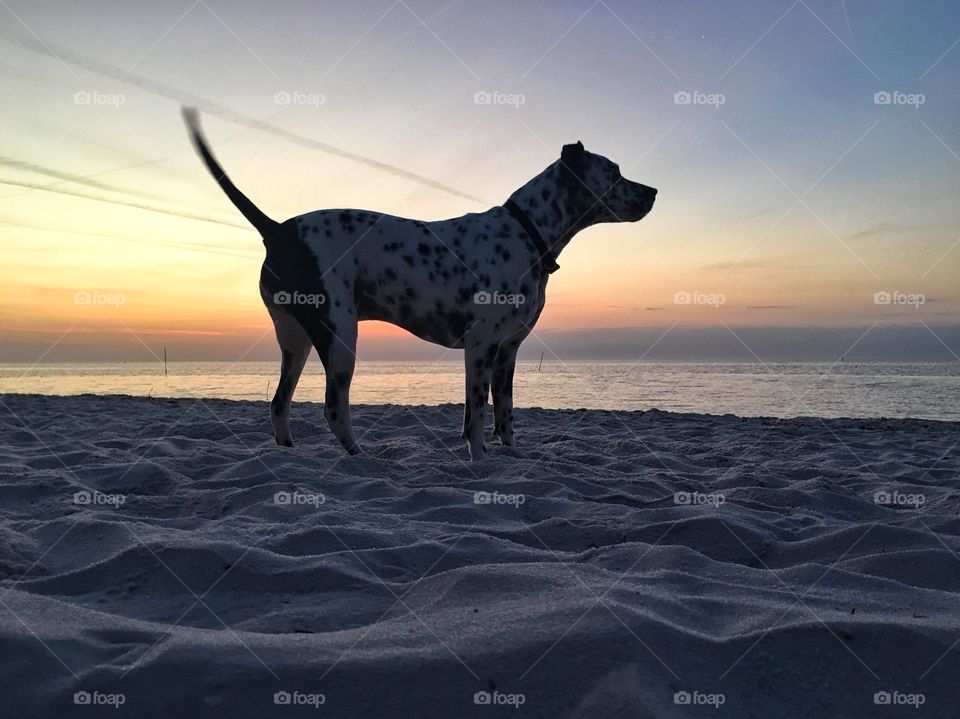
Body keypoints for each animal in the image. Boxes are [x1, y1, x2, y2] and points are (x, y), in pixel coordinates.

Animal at [184, 109, 656, 464]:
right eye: (614, 172)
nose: (653, 191)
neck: (527, 233)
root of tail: (278, 230)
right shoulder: (480, 347)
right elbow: (477, 415)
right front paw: (480, 461)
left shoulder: (507, 352)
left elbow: (504, 415)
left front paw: (511, 455)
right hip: (340, 336)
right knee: (334, 407)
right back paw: (361, 456)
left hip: (296, 340)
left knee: (279, 403)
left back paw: (290, 451)